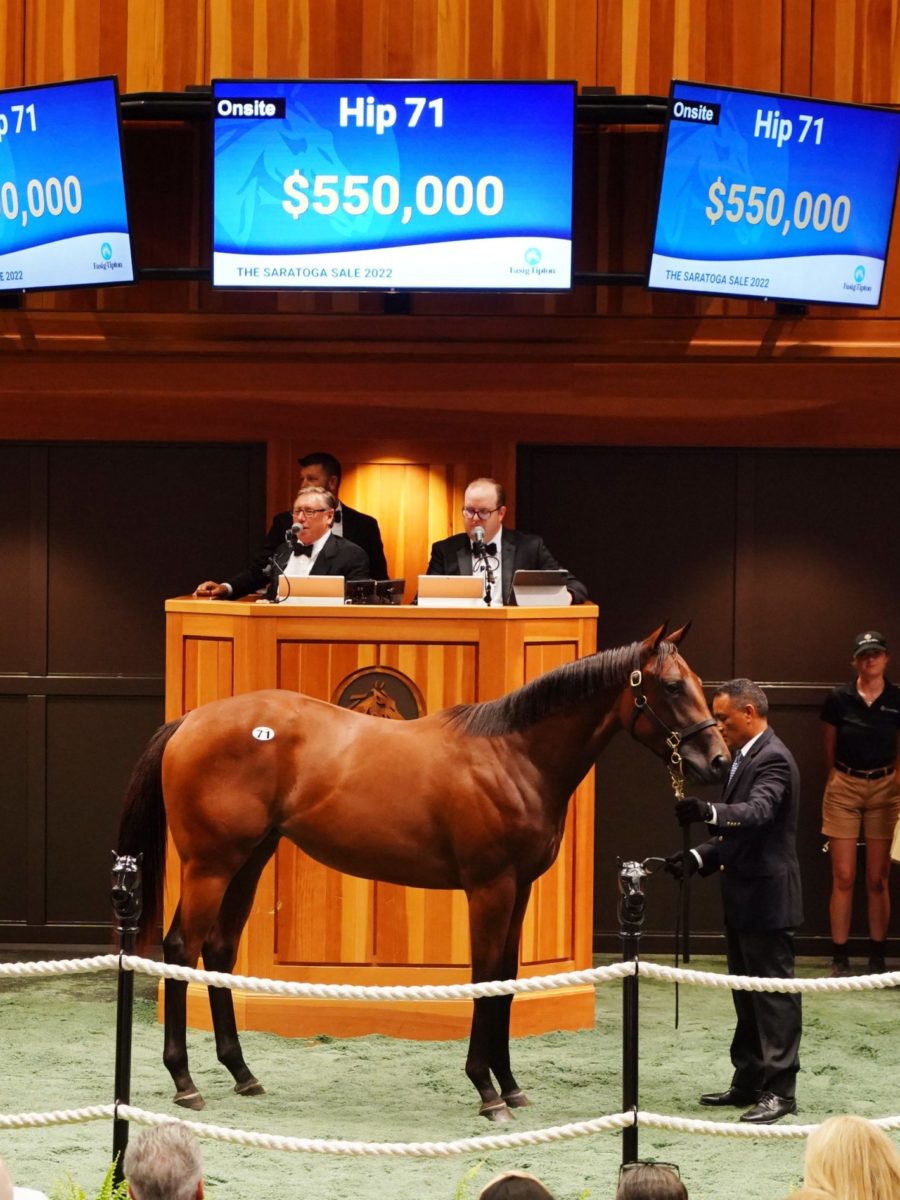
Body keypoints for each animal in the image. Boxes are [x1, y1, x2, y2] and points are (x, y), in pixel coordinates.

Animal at [116, 624, 729, 1118]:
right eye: (672, 687)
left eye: (699, 682)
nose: (719, 761)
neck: (513, 757)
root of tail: (190, 720)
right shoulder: (489, 889)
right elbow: (485, 979)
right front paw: (486, 1091)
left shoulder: (519, 891)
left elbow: (507, 982)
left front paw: (510, 1085)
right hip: (210, 865)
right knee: (181, 949)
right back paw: (185, 1082)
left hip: (248, 861)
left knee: (218, 950)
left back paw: (242, 1074)